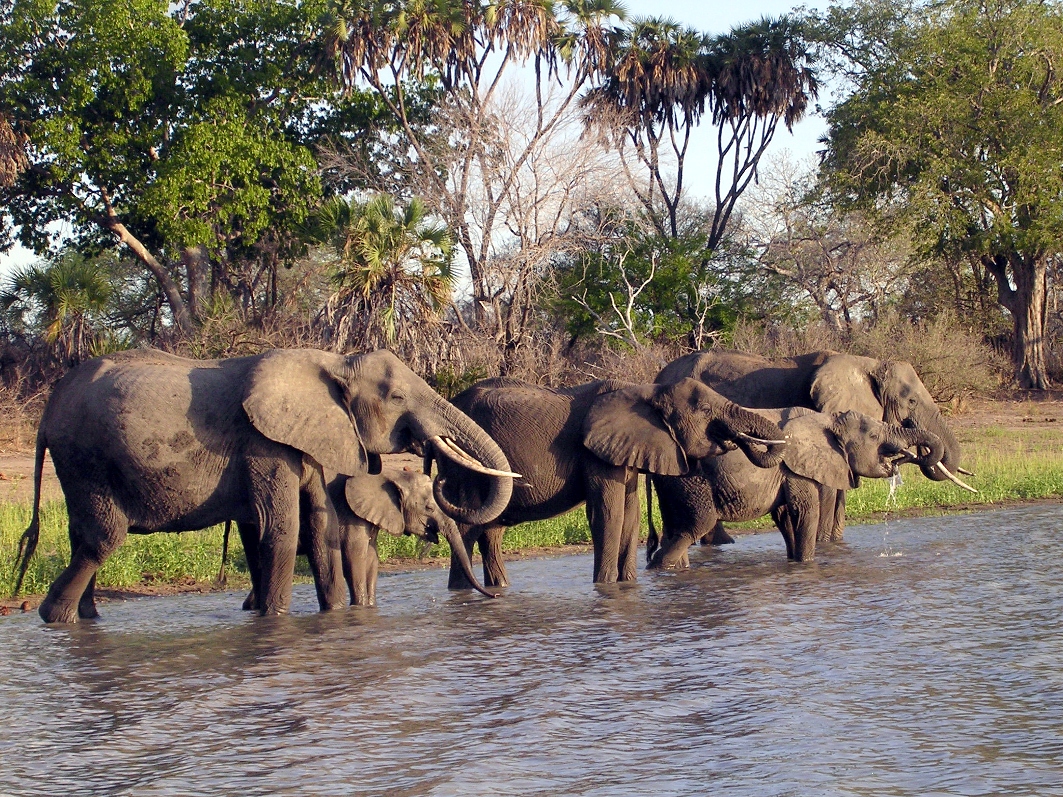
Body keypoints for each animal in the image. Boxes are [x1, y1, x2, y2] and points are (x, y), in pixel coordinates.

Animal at [15, 348, 514, 624]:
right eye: (396, 397)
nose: (437, 469)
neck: (333, 361)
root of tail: (46, 413)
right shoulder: (264, 442)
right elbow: (282, 529)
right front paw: (275, 622)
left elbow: (320, 529)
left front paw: (336, 618)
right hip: (86, 458)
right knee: (102, 537)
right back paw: (53, 617)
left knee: (82, 535)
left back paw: (86, 619)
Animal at [437, 378, 790, 590]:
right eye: (704, 410)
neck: (647, 392)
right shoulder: (595, 453)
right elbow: (608, 514)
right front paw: (605, 588)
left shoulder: (626, 451)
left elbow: (630, 516)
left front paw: (626, 586)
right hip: (464, 461)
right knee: (468, 527)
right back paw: (463, 592)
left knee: (490, 531)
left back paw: (497, 589)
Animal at [646, 408, 948, 569]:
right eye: (873, 436)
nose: (901, 457)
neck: (828, 421)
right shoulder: (796, 467)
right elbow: (805, 512)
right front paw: (807, 565)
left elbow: (784, 517)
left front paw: (794, 564)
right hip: (689, 478)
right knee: (697, 523)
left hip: (672, 480)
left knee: (675, 528)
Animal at [650, 350, 969, 548]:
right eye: (911, 401)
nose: (913, 454)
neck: (866, 363)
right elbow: (825, 490)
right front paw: (824, 543)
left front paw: (836, 544)